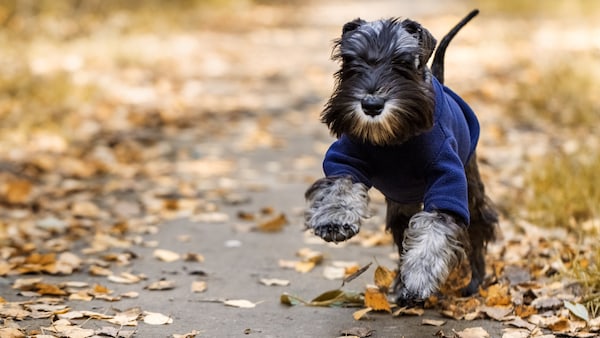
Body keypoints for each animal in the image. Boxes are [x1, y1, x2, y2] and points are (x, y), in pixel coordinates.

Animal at [304, 10, 496, 304]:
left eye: (402, 62)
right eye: (351, 60)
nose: (371, 105)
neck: (393, 141)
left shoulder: (448, 182)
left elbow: (434, 230)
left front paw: (419, 277)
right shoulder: (347, 157)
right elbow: (340, 184)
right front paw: (334, 219)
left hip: (470, 188)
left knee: (478, 228)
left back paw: (474, 281)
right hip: (401, 205)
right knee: (403, 233)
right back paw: (398, 286)